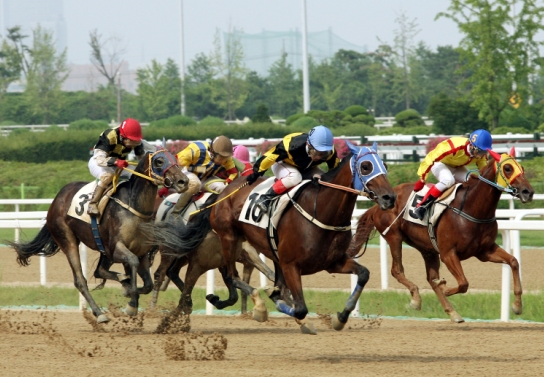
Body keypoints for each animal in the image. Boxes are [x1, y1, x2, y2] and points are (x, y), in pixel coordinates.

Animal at [10, 150, 188, 324]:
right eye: (159, 161)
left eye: (175, 158)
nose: (183, 181)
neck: (134, 208)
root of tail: (56, 200)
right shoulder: (117, 248)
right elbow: (132, 263)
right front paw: (131, 303)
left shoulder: (141, 252)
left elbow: (148, 284)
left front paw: (129, 289)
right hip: (67, 240)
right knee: (80, 280)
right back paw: (100, 314)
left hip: (103, 248)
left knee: (99, 271)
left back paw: (122, 281)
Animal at [153, 141, 396, 332]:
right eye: (366, 166)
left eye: (384, 165)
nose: (389, 198)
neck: (320, 210)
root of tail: (223, 193)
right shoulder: (290, 265)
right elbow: (299, 307)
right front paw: (272, 302)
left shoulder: (332, 262)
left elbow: (363, 274)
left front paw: (341, 317)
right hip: (228, 238)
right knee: (231, 276)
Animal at [348, 148, 536, 322]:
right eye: (507, 168)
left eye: (522, 168)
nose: (528, 192)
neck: (472, 208)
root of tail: (379, 203)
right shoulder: (448, 253)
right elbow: (463, 283)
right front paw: (445, 287)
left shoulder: (485, 251)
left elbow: (513, 261)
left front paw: (517, 305)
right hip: (394, 236)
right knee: (397, 270)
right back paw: (416, 298)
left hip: (427, 248)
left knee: (431, 278)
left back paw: (452, 312)